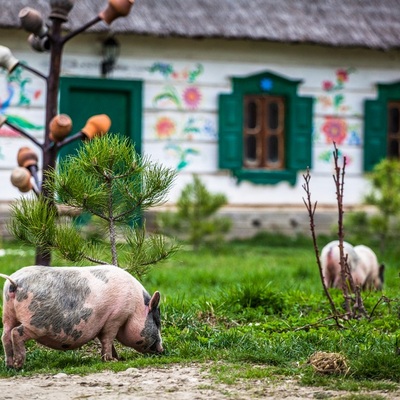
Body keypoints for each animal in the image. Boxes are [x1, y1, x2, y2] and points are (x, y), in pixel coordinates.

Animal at [0, 266, 162, 368]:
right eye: (157, 322)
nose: (162, 350)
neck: (135, 307)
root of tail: (15, 283)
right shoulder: (116, 316)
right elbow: (108, 338)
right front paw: (112, 361)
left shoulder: (103, 323)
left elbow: (105, 340)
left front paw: (117, 358)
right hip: (36, 323)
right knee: (16, 333)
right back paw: (19, 365)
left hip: (8, 313)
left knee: (5, 335)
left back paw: (10, 366)